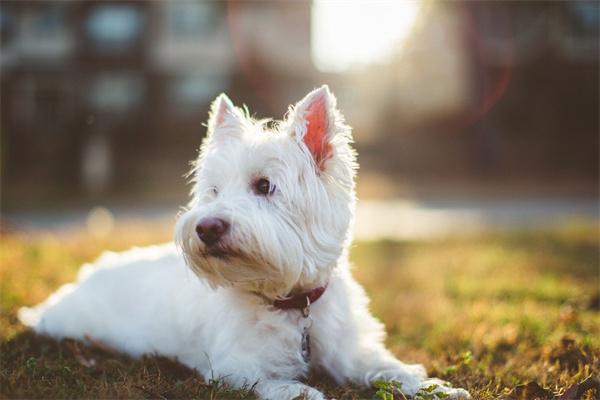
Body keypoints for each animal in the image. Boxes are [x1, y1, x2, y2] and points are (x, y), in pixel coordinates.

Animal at [18, 87, 468, 400]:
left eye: (264, 186)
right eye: (214, 191)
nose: (206, 228)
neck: (291, 304)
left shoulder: (351, 350)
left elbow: (392, 368)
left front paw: (438, 387)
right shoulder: (232, 367)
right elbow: (275, 384)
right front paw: (304, 390)